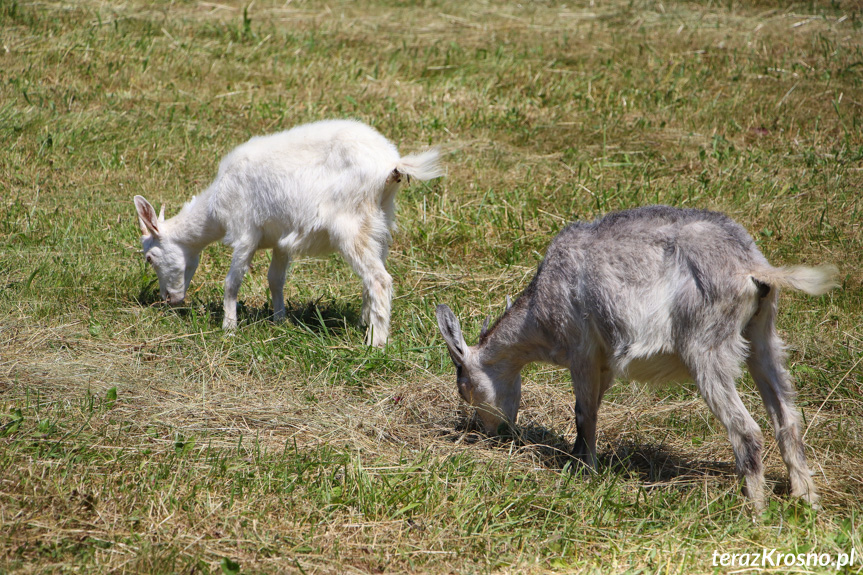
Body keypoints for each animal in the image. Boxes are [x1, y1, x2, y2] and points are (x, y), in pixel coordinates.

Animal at [137, 120, 446, 346]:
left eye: (150, 258)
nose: (168, 300)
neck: (215, 206)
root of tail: (391, 165)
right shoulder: (280, 240)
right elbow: (275, 280)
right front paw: (279, 321)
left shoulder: (245, 231)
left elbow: (232, 282)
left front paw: (229, 328)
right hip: (379, 224)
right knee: (372, 277)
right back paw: (364, 323)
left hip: (349, 226)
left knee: (380, 280)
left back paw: (375, 344)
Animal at [436, 206, 840, 508]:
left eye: (465, 388)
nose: (490, 433)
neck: (540, 308)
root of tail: (750, 266)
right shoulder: (604, 363)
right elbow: (591, 408)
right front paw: (578, 461)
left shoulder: (582, 350)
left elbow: (584, 413)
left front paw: (585, 471)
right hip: (762, 337)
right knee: (787, 418)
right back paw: (806, 500)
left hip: (706, 348)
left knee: (747, 430)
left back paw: (755, 511)